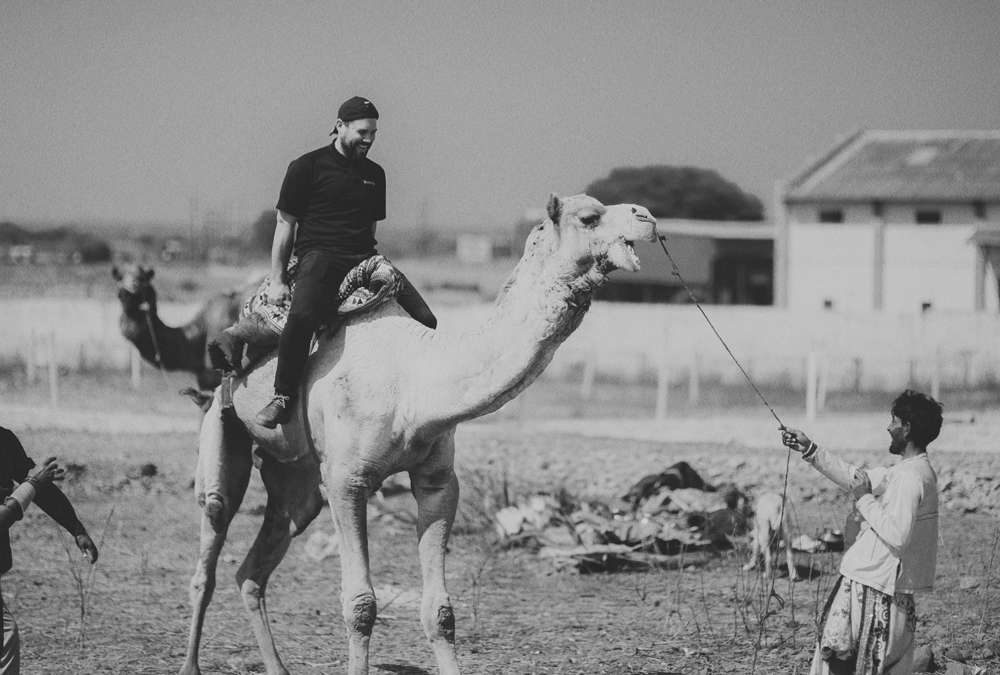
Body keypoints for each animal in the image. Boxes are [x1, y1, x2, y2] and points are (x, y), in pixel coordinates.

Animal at [182, 193, 656, 672]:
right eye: (589, 217)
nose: (648, 217)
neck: (413, 379)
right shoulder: (347, 481)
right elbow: (360, 605)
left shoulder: (437, 478)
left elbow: (441, 612)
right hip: (223, 430)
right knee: (210, 544)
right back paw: (190, 664)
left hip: (296, 481)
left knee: (256, 565)